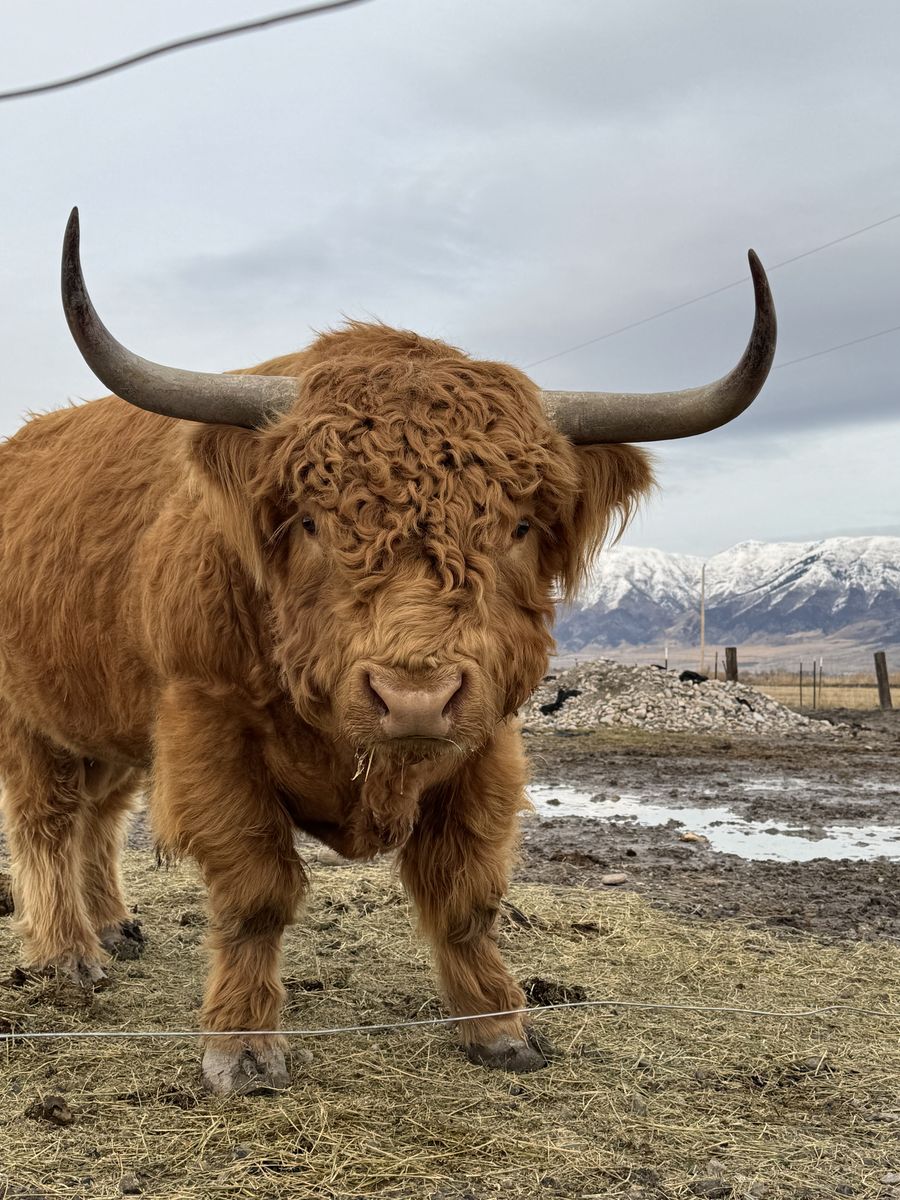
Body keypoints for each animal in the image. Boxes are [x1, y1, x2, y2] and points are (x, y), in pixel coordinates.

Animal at [0, 210, 776, 1093]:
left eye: (518, 525)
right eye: (309, 520)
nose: (414, 699)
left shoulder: (486, 746)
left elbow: (466, 892)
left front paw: (498, 1025)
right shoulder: (207, 727)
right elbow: (255, 893)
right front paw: (243, 1047)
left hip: (110, 726)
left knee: (97, 819)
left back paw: (114, 928)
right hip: (30, 719)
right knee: (47, 823)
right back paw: (68, 955)